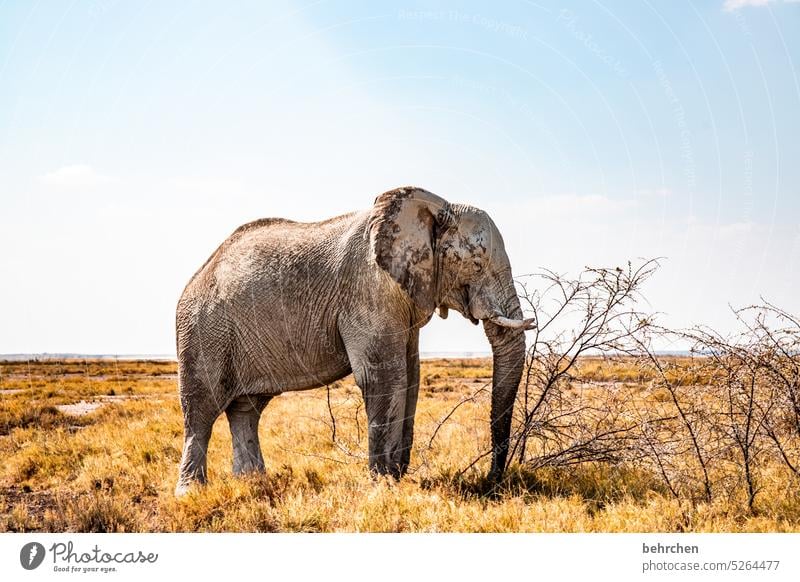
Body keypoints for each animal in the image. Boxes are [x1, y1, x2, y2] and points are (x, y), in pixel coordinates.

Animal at [174, 188, 532, 498]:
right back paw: (191, 492)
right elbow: (384, 379)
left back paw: (252, 483)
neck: (434, 207)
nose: (492, 482)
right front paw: (383, 484)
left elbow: (411, 377)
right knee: (201, 409)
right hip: (203, 331)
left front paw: (396, 477)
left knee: (246, 409)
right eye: (476, 264)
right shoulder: (368, 292)